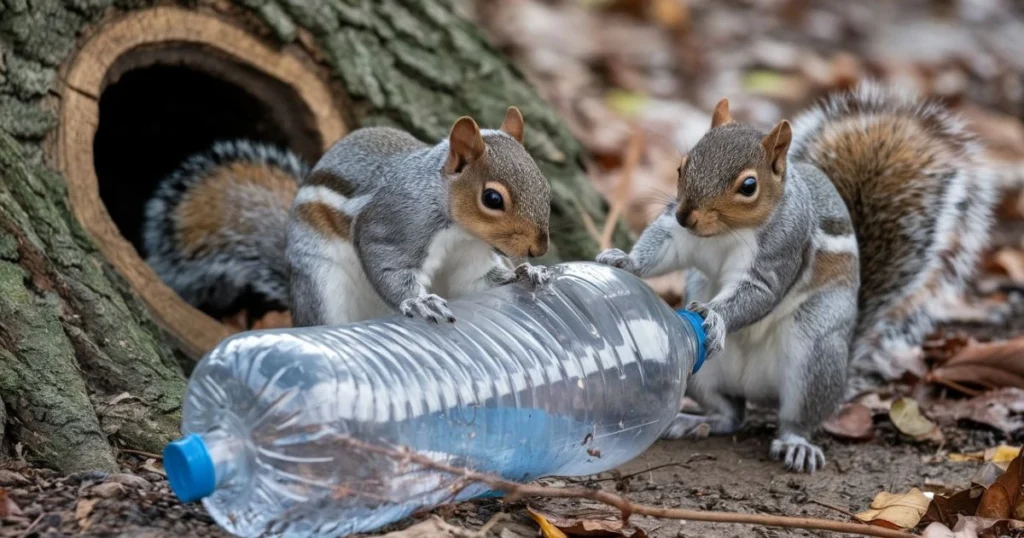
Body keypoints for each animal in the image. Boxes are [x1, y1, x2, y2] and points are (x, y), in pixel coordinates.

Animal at [144, 104, 552, 323]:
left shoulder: (470, 262)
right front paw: (419, 301)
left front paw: (527, 273)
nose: (539, 249)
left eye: (546, 186)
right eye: (492, 199)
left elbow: (480, 282)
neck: (460, 232)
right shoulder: (395, 223)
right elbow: (386, 264)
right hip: (323, 286)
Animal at [598, 81, 995, 471]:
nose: (686, 215)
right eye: (682, 166)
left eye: (748, 186)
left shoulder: (782, 250)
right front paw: (623, 262)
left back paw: (795, 444)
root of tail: (759, 390)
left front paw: (716, 316)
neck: (726, 233)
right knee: (731, 413)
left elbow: (759, 292)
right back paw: (695, 421)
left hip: (813, 356)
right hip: (701, 372)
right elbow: (662, 246)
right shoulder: (677, 234)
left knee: (796, 419)